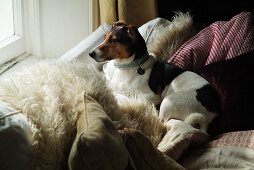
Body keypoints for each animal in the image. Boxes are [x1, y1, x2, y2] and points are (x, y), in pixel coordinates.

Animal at [88, 20, 219, 133]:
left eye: (113, 40)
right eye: (105, 38)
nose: (90, 53)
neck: (128, 67)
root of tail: (211, 115)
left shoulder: (151, 97)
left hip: (169, 101)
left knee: (161, 123)